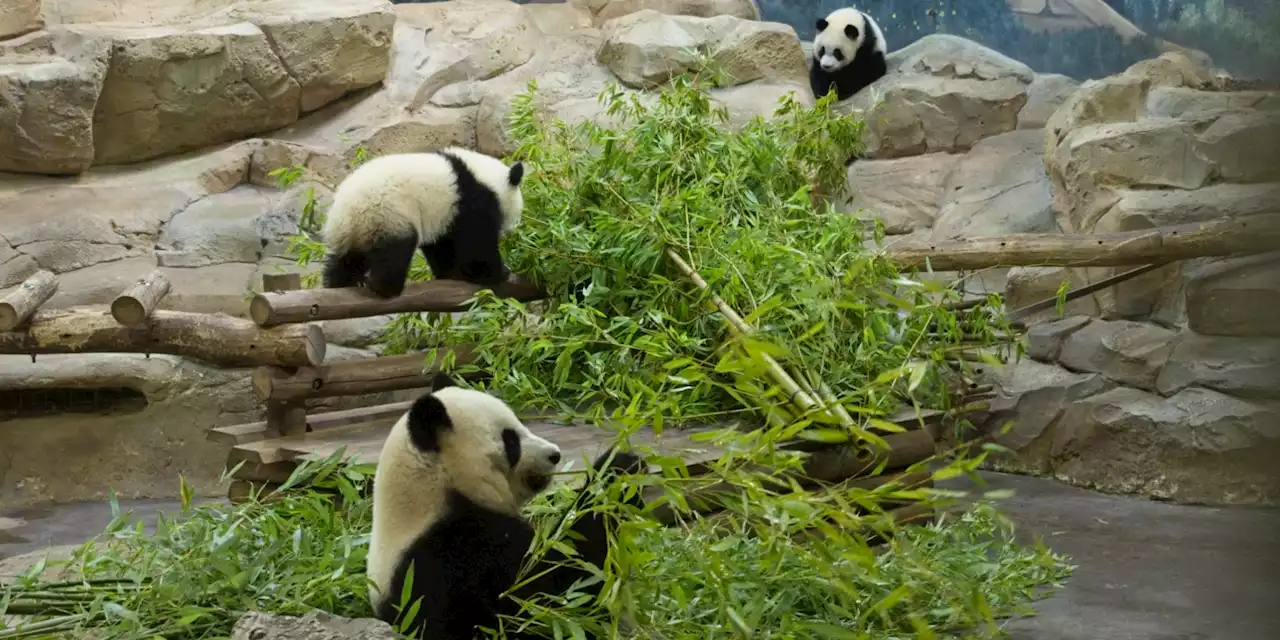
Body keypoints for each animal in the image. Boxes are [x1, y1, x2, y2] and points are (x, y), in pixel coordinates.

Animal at [320, 147, 524, 296]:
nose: (511, 227)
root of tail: (344, 214)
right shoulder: (472, 201)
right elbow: (476, 245)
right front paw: (499, 272)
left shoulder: (447, 215)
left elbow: (441, 244)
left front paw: (451, 273)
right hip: (386, 213)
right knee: (396, 249)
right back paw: (386, 287)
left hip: (356, 231)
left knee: (346, 258)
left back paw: (343, 282)